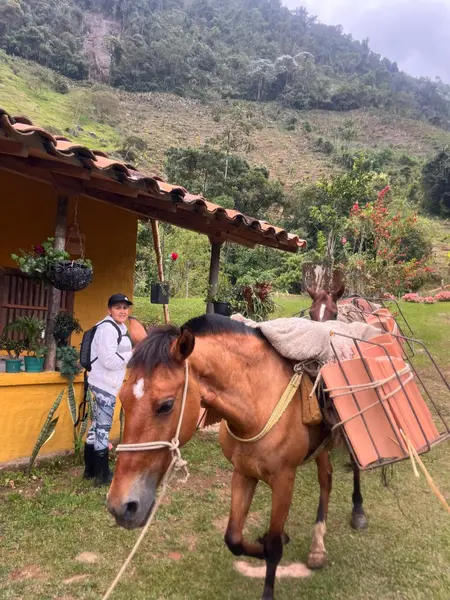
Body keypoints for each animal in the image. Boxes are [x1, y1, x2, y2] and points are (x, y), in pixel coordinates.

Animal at [107, 314, 360, 600]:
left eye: (166, 405)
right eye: (122, 399)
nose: (120, 507)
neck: (257, 404)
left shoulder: (284, 480)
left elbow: (273, 546)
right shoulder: (242, 473)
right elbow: (234, 539)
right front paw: (267, 541)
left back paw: (355, 513)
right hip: (320, 447)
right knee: (326, 477)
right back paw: (317, 547)